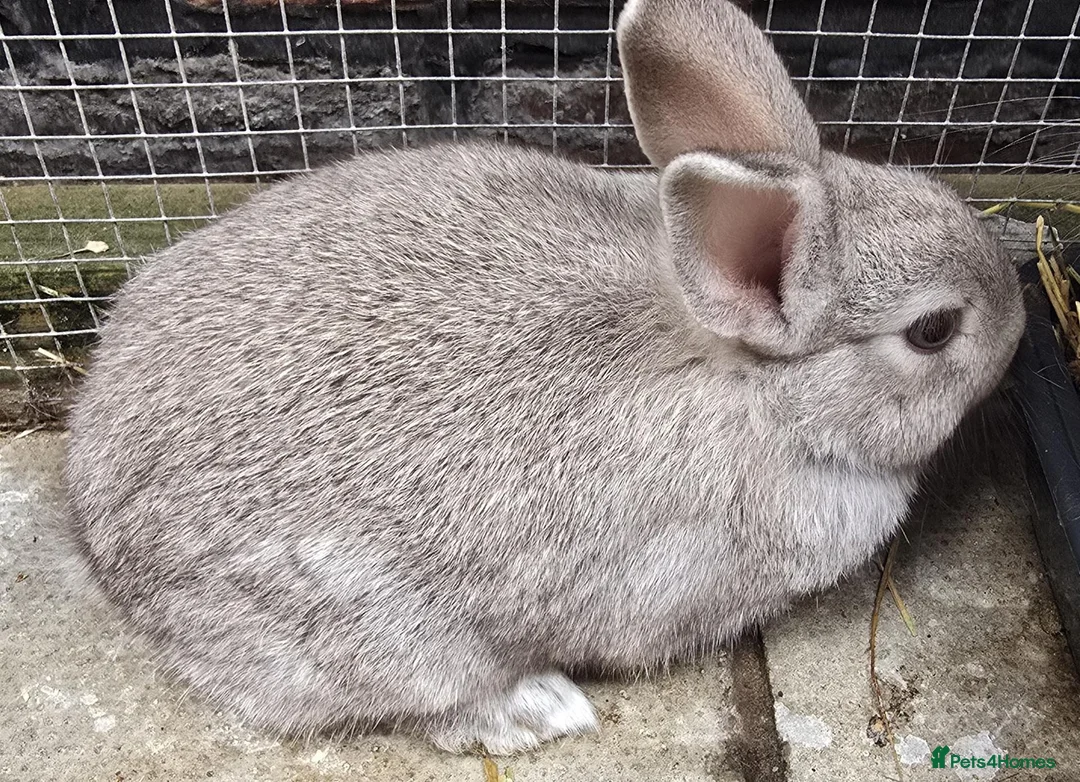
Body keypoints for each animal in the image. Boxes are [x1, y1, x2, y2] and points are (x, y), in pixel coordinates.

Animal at [64, 0, 1025, 756]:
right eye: (934, 331)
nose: (1021, 322)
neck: (761, 390)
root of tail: (98, 541)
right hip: (384, 636)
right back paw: (538, 710)